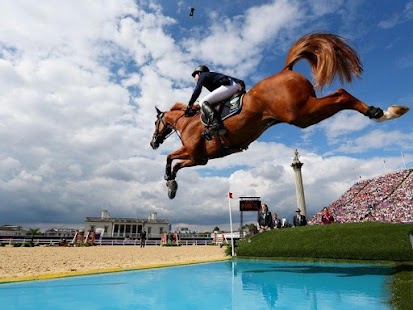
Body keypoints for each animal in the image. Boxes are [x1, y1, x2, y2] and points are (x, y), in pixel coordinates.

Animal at [150, 32, 408, 199]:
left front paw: (170, 184)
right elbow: (174, 161)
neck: (187, 123)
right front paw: (171, 185)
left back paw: (382, 113)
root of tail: (286, 70)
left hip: (302, 113)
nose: (153, 143)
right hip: (305, 113)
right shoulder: (200, 158)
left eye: (155, 122)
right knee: (340, 95)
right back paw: (383, 111)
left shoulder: (196, 155)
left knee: (341, 95)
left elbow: (170, 159)